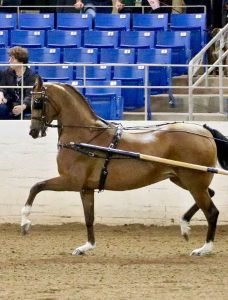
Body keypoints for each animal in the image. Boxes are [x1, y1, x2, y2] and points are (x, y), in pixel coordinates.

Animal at [22, 75, 228, 255]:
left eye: (37, 102)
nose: (33, 131)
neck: (85, 137)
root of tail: (205, 132)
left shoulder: (71, 181)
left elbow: (36, 186)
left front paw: (25, 222)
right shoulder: (85, 187)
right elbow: (89, 218)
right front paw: (87, 247)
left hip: (194, 182)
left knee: (211, 212)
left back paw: (204, 249)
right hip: (183, 179)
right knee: (210, 194)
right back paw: (185, 225)